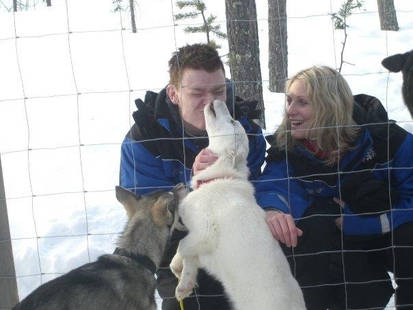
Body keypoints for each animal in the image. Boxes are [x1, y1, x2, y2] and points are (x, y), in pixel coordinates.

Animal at [168, 100, 306, 308]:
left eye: (232, 121)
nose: (217, 101)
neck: (219, 177)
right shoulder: (197, 240)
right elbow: (187, 258)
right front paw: (182, 282)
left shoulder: (205, 232)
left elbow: (182, 245)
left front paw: (179, 270)